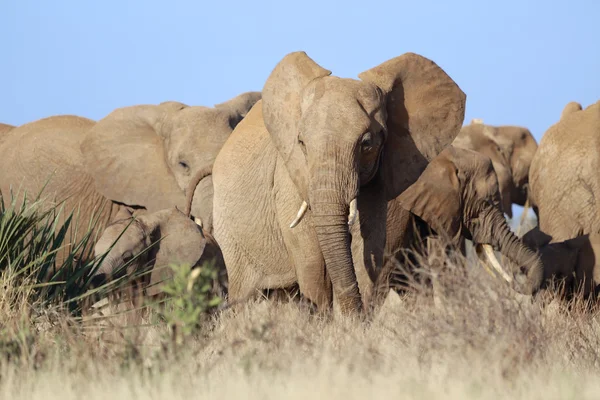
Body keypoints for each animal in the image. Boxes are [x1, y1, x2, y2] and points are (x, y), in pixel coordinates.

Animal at [213, 49, 472, 316]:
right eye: (301, 142)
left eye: (366, 144)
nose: (353, 312)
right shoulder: (291, 177)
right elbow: (311, 255)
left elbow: (373, 244)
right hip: (229, 234)